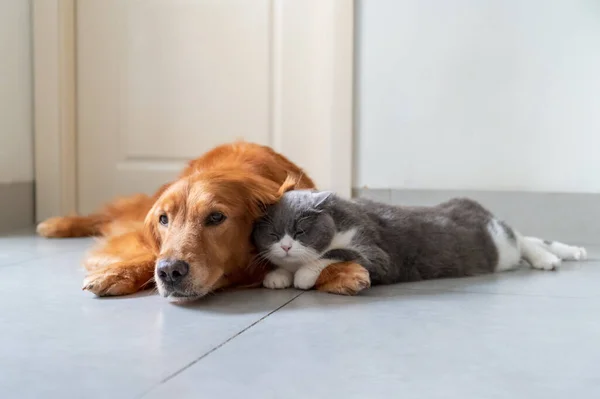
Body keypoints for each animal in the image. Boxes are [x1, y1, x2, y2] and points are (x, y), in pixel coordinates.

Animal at [37, 142, 370, 302]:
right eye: (164, 219)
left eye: (216, 217)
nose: (170, 272)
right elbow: (149, 256)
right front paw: (116, 273)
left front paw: (340, 270)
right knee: (109, 215)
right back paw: (57, 224)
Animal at [251, 189, 588, 292]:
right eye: (273, 234)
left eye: (300, 231)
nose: (286, 246)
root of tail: (470, 203)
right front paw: (278, 275)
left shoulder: (378, 253)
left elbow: (334, 253)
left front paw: (303, 274)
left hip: (499, 244)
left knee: (519, 235)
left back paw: (552, 257)